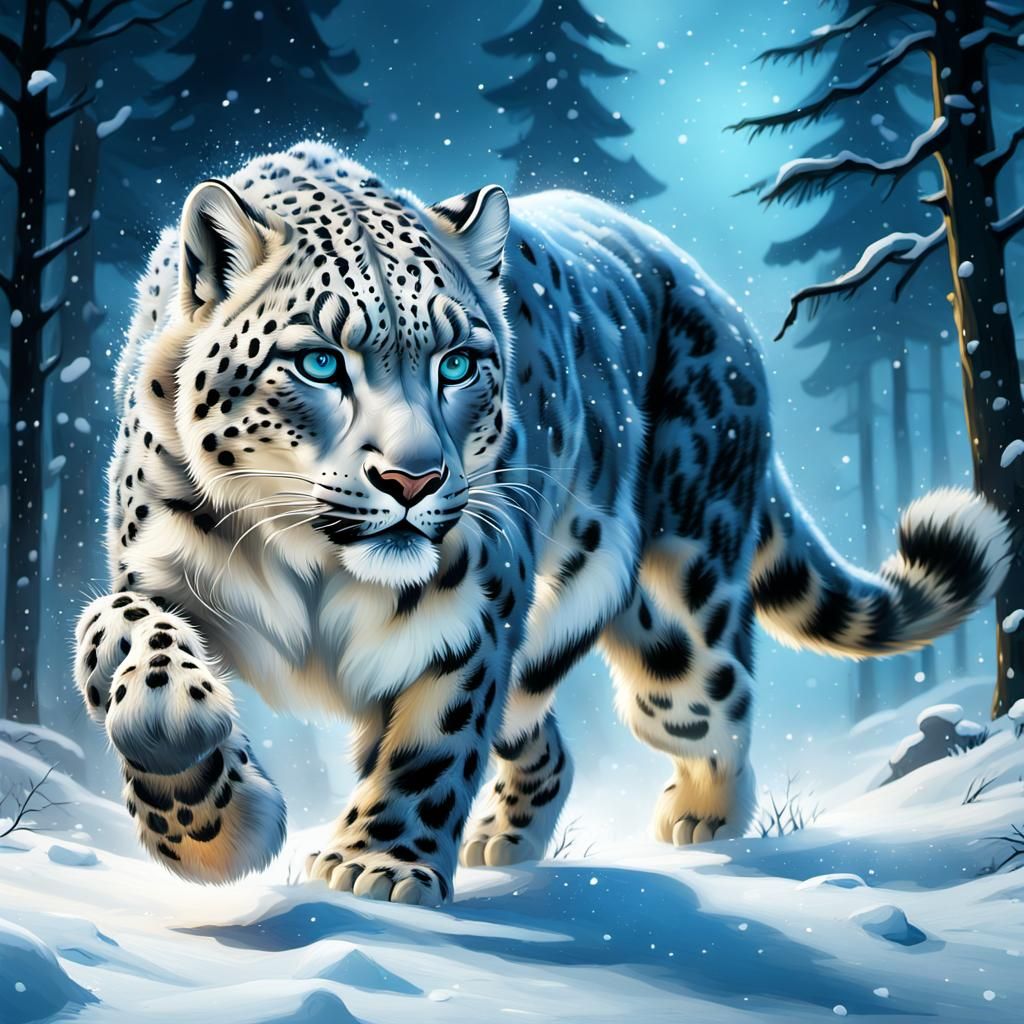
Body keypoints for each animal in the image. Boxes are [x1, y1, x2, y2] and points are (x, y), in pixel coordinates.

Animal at [74, 141, 1009, 904]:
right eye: (319, 362)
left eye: (458, 363)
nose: (413, 479)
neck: (313, 563)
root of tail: (719, 302)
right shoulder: (157, 566)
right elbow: (117, 628)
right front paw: (199, 804)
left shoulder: (469, 601)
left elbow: (434, 741)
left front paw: (379, 864)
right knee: (545, 735)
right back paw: (503, 837)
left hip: (678, 626)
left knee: (716, 701)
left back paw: (698, 821)